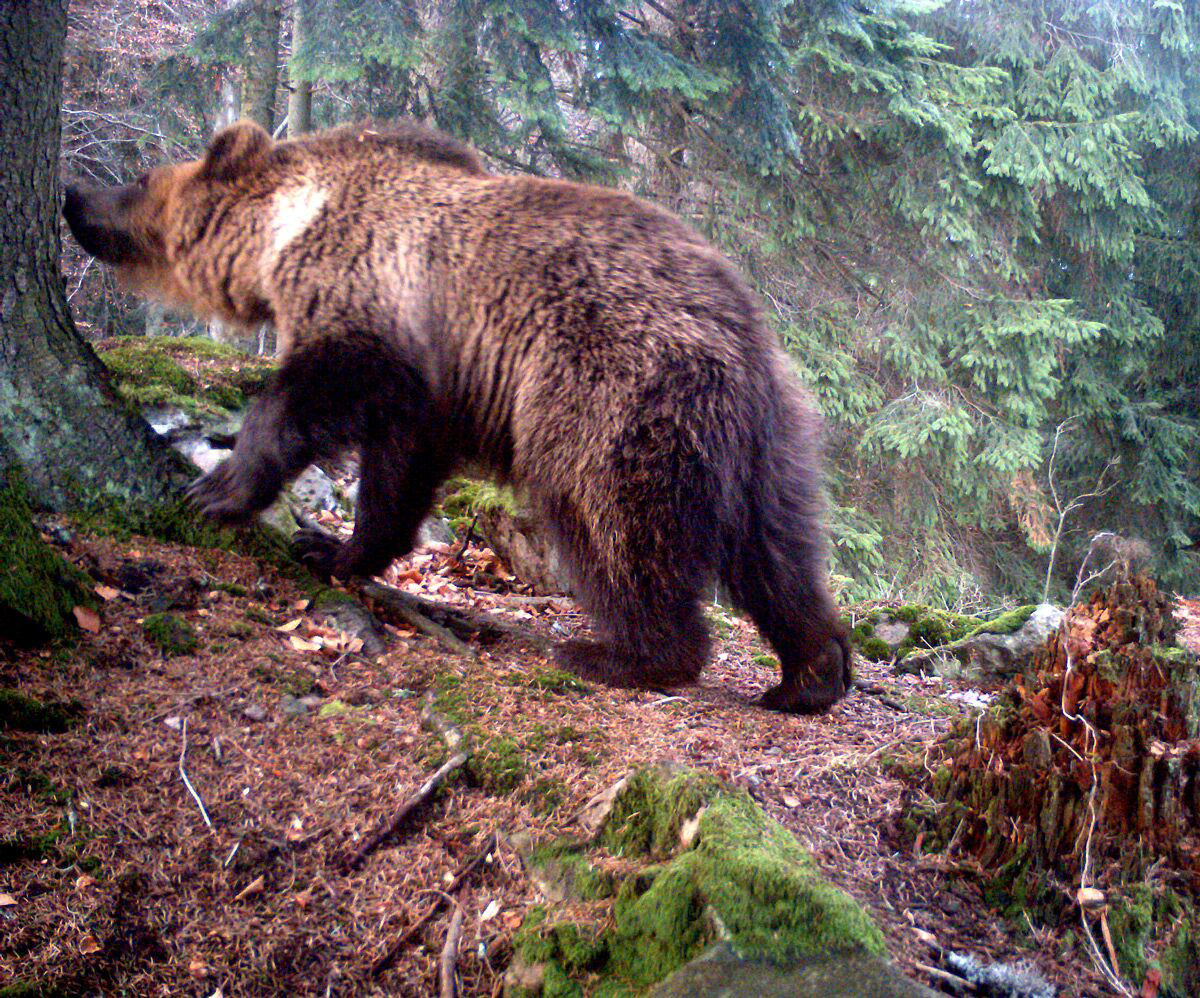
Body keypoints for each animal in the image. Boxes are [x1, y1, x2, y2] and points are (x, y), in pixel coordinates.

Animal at [65, 118, 849, 710]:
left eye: (140, 179)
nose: (75, 195)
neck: (286, 229)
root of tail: (737, 325)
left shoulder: (371, 306)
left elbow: (307, 395)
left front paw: (217, 490)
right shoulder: (430, 387)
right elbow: (398, 470)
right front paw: (333, 547)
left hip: (607, 388)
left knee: (613, 515)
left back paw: (622, 652)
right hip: (775, 435)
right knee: (777, 548)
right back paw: (812, 672)